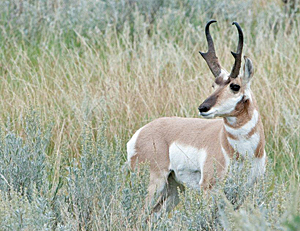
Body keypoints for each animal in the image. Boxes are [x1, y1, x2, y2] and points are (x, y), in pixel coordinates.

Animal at [126, 20, 264, 214]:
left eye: (235, 86)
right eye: (214, 85)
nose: (203, 107)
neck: (243, 151)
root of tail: (140, 133)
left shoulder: (246, 192)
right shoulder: (209, 189)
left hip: (172, 190)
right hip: (153, 184)